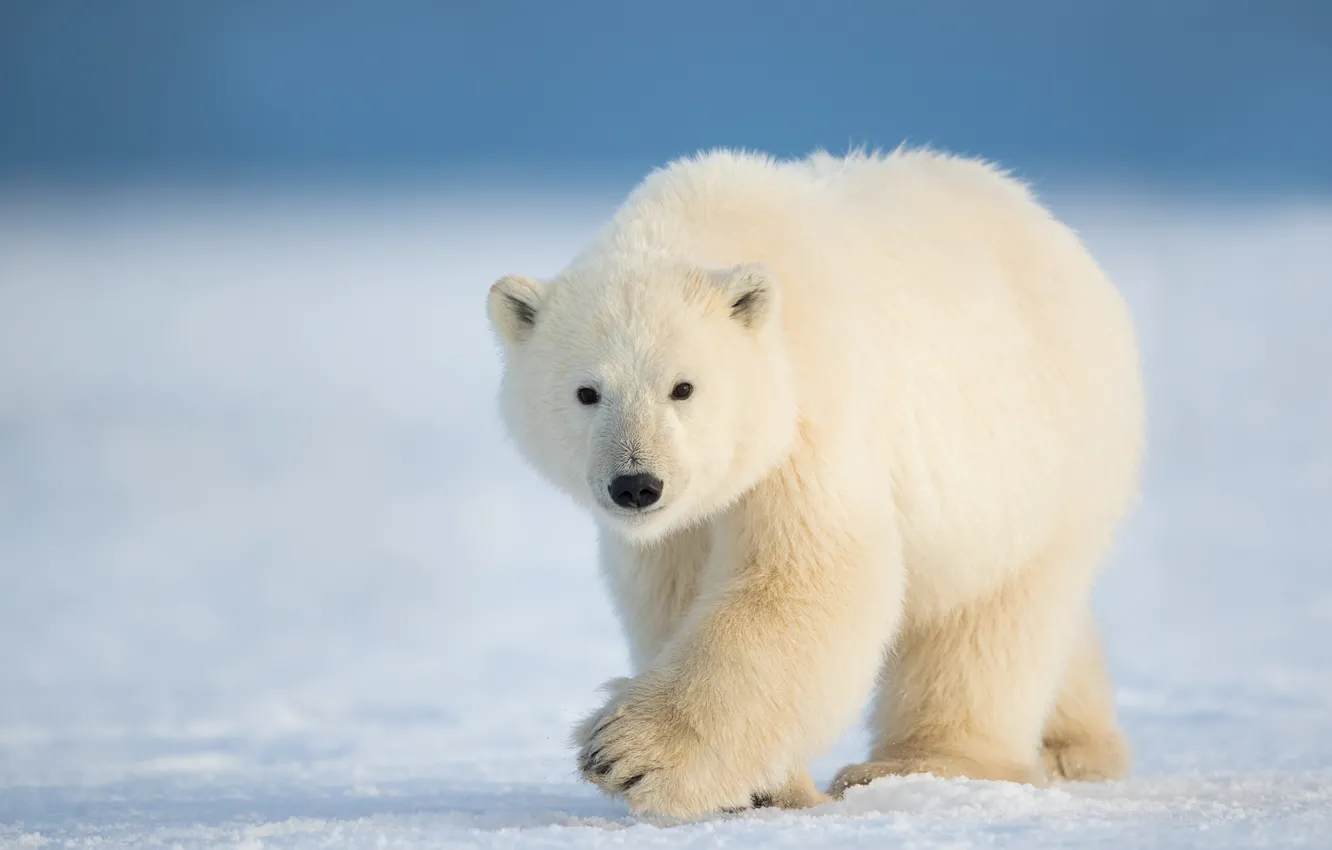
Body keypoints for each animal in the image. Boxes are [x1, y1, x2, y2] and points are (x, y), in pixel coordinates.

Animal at [486, 147, 1143, 818]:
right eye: (587, 392)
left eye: (683, 387)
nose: (637, 484)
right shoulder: (680, 523)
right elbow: (674, 595)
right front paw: (762, 787)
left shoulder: (813, 416)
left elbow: (807, 578)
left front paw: (628, 754)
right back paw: (1074, 744)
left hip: (1036, 458)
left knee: (988, 617)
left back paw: (924, 762)